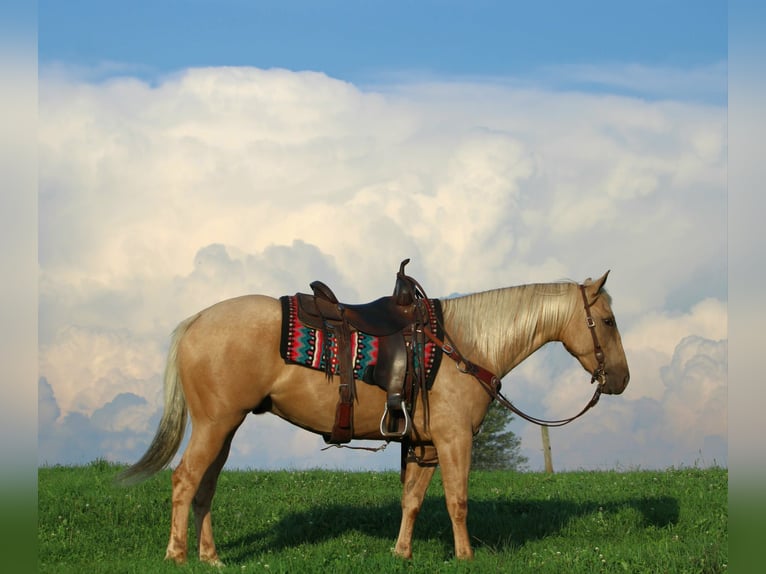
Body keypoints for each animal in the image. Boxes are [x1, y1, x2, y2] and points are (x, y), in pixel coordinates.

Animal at [118, 270, 629, 564]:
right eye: (607, 321)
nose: (621, 379)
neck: (463, 344)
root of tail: (197, 320)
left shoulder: (423, 445)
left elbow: (413, 500)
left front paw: (401, 552)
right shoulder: (454, 439)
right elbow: (458, 501)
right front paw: (465, 556)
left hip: (225, 427)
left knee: (205, 486)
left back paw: (211, 557)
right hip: (214, 424)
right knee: (185, 480)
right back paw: (177, 555)